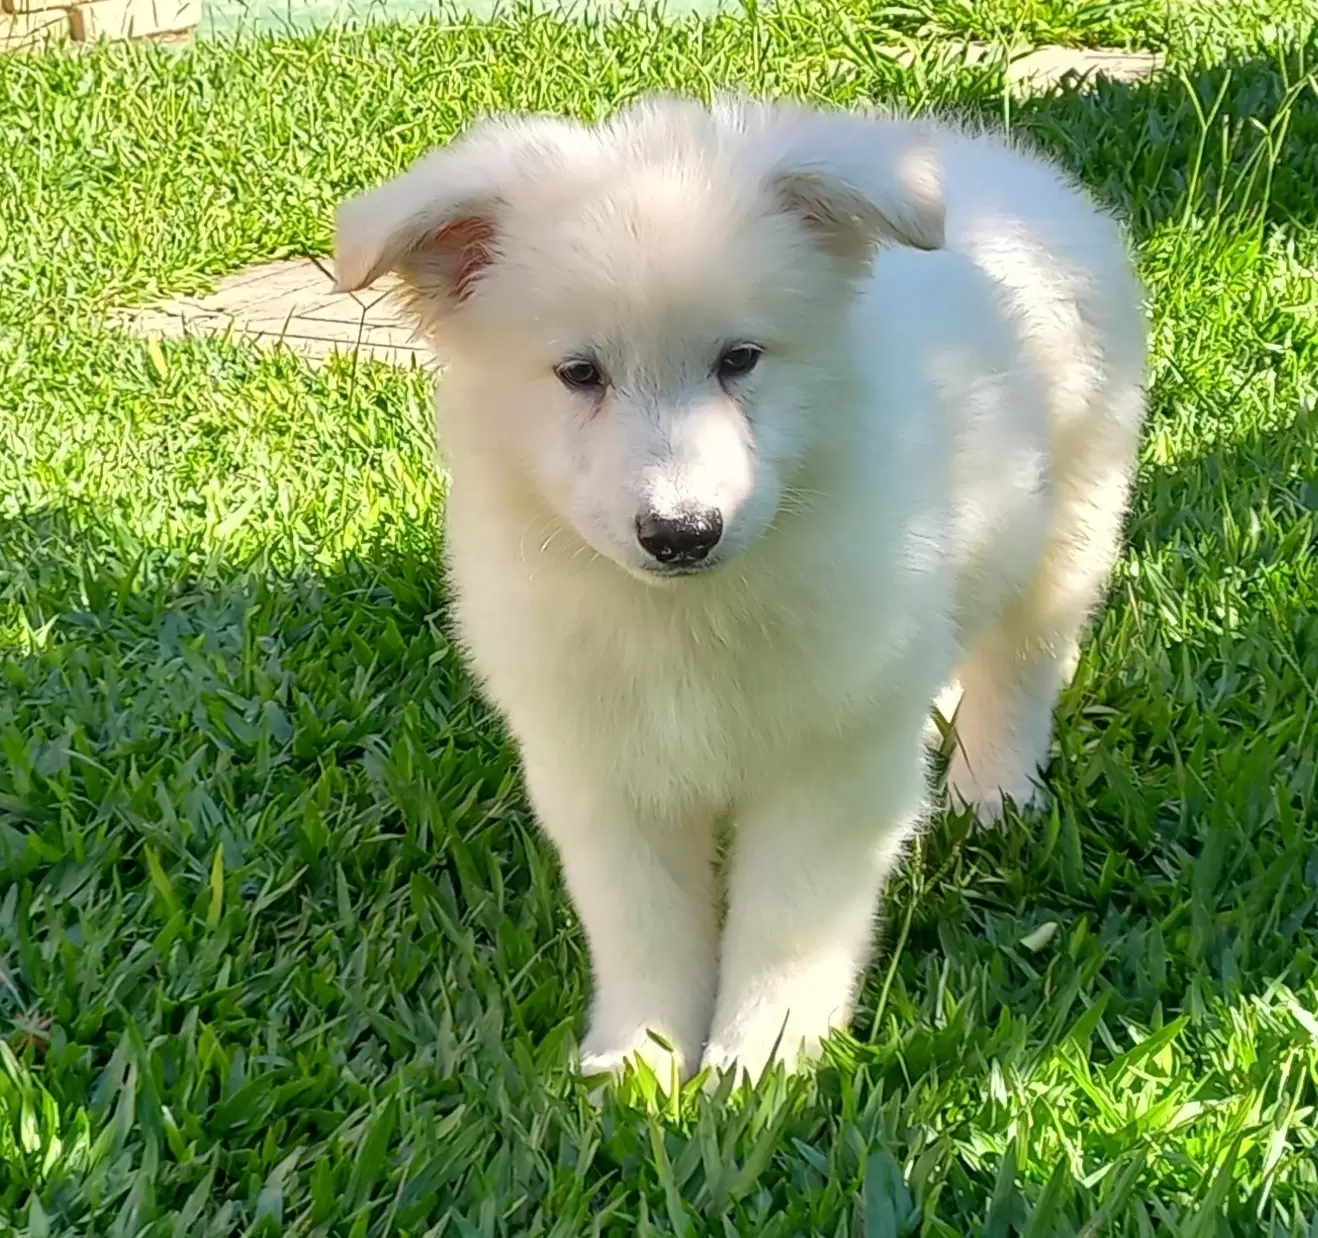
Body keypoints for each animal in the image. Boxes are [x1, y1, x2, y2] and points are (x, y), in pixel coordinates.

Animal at [334, 94, 1149, 1086]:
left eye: (740, 358)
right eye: (579, 374)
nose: (681, 532)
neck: (685, 619)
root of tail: (1011, 168)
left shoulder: (825, 765)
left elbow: (789, 924)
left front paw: (763, 1059)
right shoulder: (603, 772)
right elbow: (643, 929)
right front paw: (637, 1064)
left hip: (1074, 511)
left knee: (1024, 662)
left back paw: (992, 790)